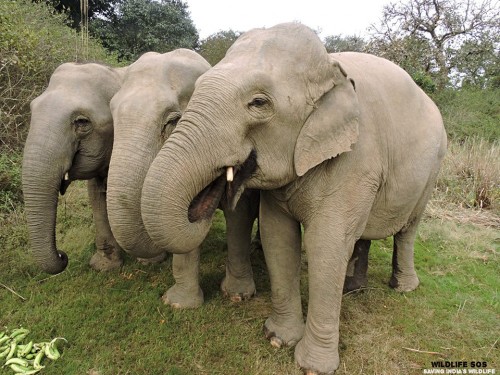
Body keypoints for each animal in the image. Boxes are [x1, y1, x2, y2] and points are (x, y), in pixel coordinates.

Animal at [140, 24, 446, 375]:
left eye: (258, 102)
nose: (211, 195)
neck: (330, 68)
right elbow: (278, 236)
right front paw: (277, 339)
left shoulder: (356, 160)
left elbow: (325, 243)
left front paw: (313, 366)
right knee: (362, 233)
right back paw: (352, 290)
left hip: (432, 169)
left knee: (408, 229)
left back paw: (402, 287)